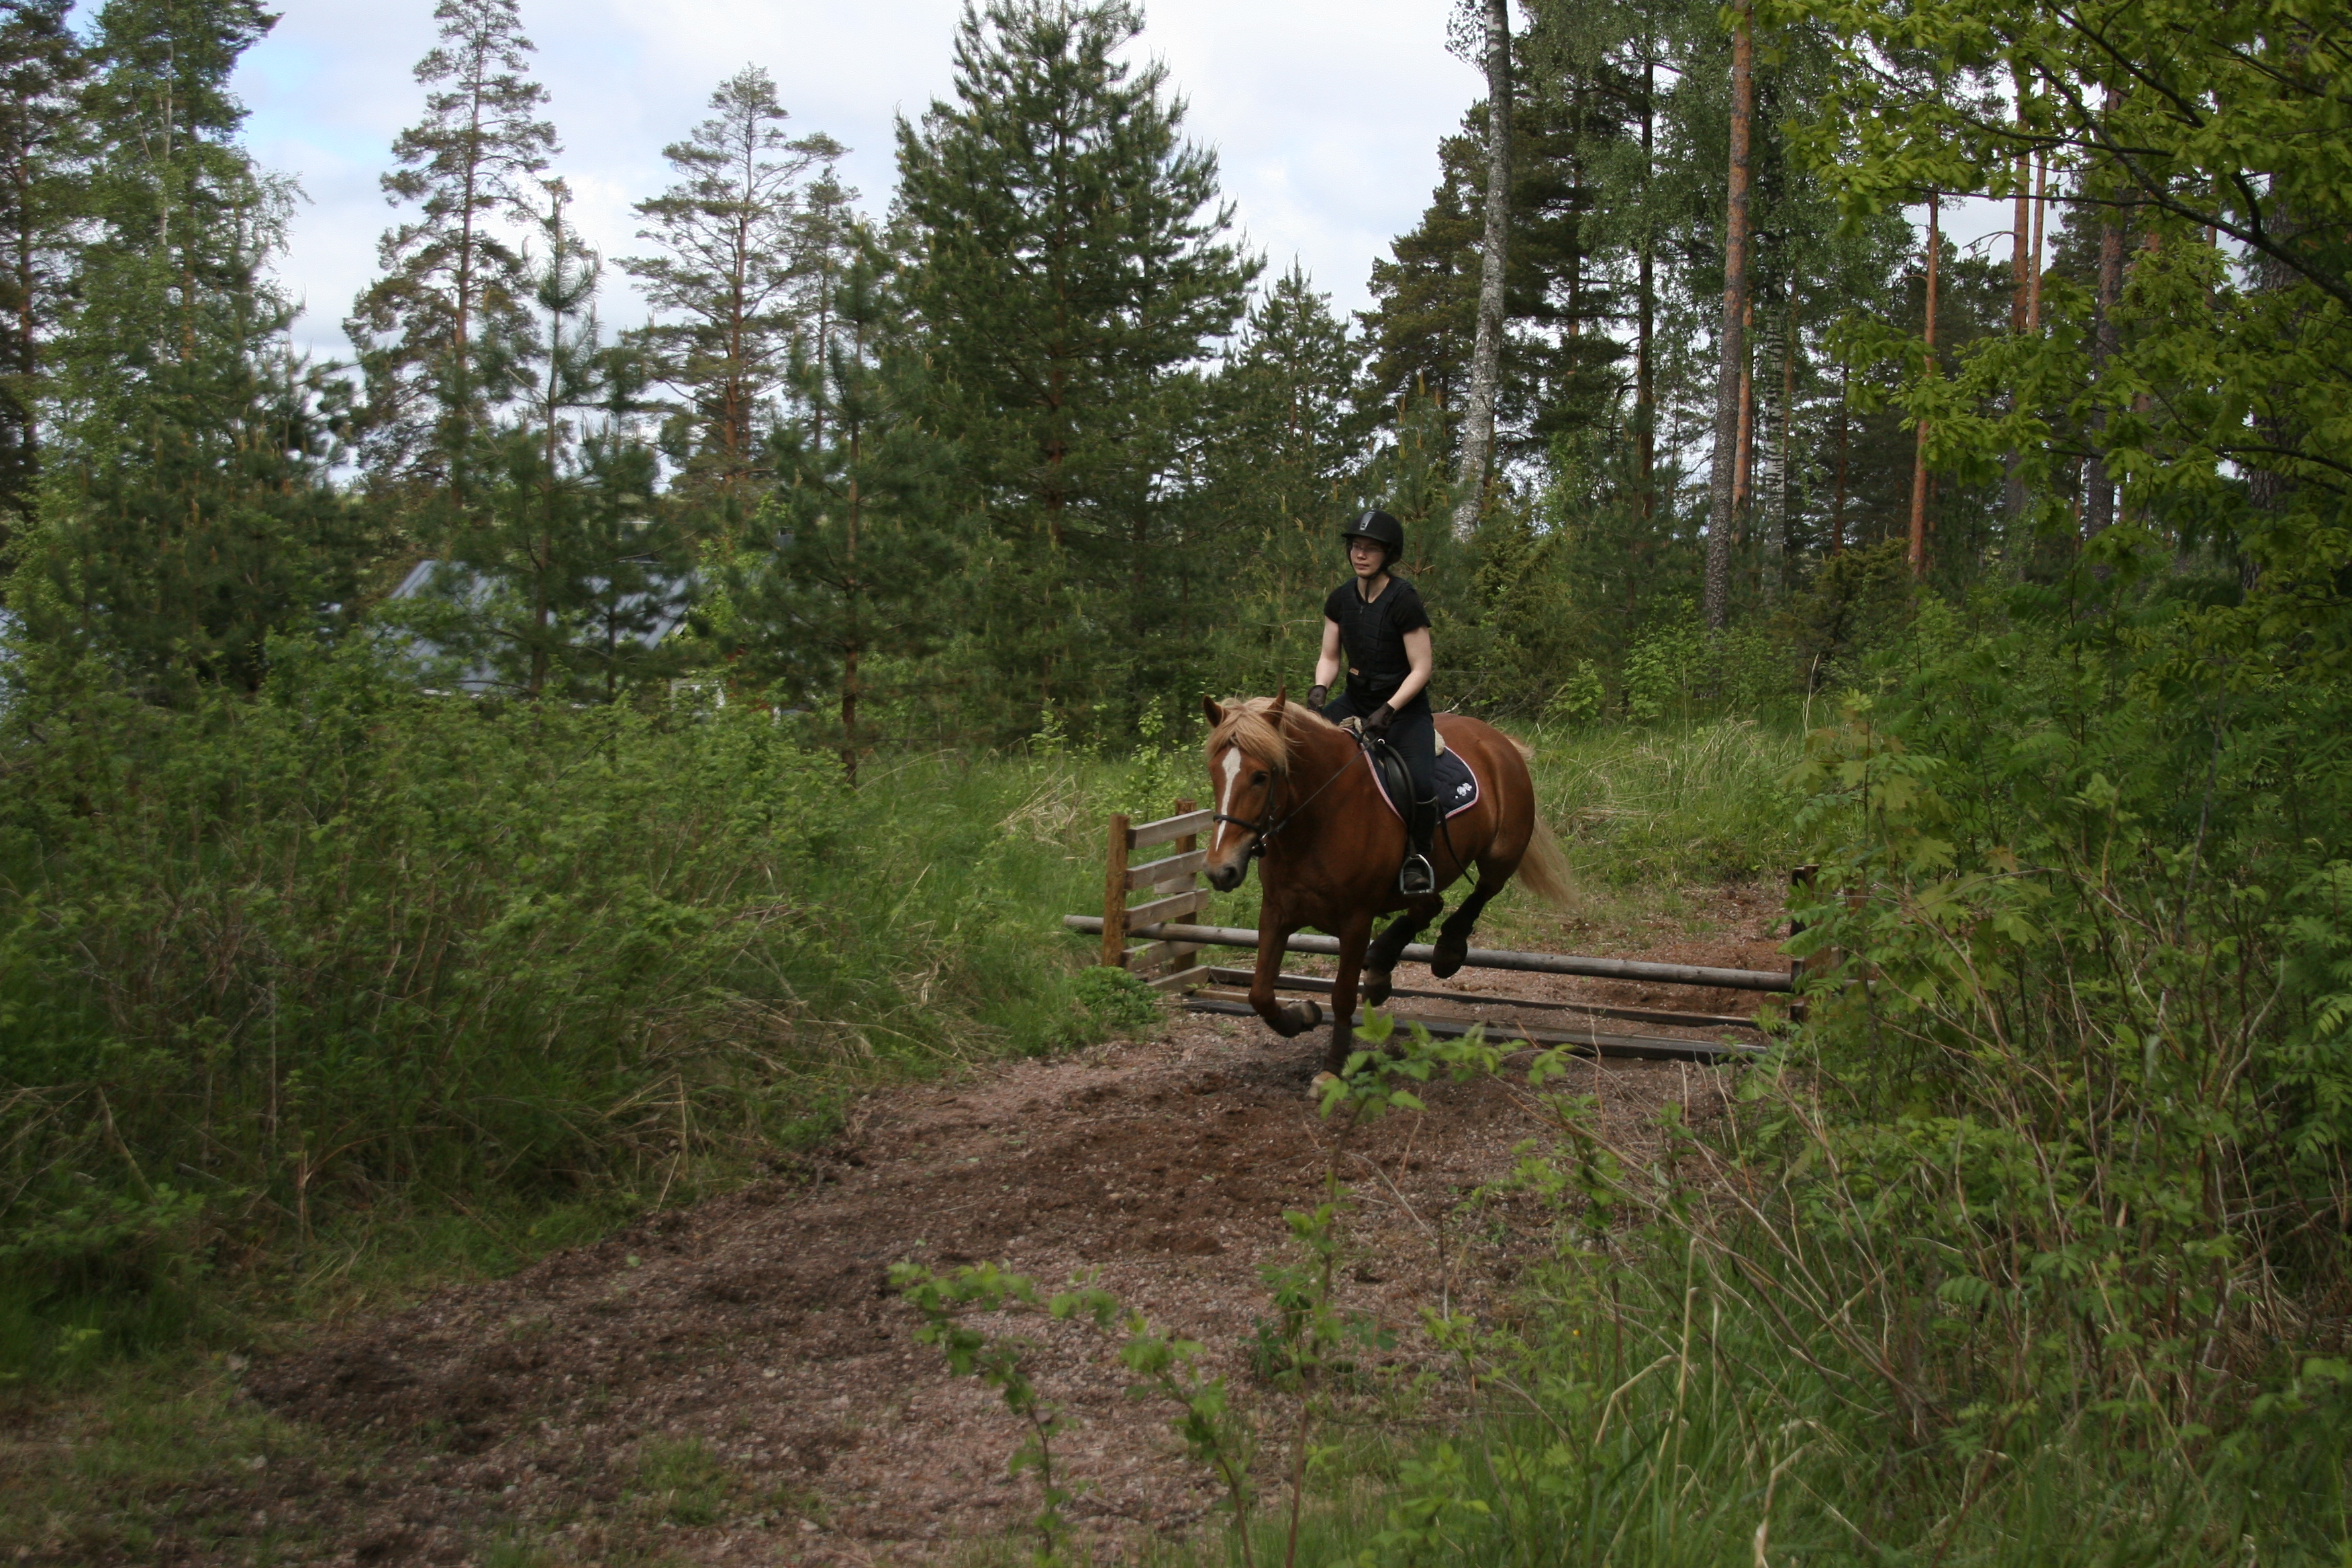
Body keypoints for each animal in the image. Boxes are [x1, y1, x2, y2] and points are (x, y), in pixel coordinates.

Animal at [1199, 693, 1570, 1073]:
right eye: (1214, 772)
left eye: (1260, 777)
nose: (1220, 870)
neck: (1318, 815)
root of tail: (1497, 739)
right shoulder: (1276, 911)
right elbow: (1259, 993)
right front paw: (1302, 1015)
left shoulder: (1356, 920)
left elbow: (1342, 996)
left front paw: (1334, 1068)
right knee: (1430, 903)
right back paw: (1381, 965)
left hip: (1502, 852)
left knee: (1483, 890)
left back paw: (1447, 951)